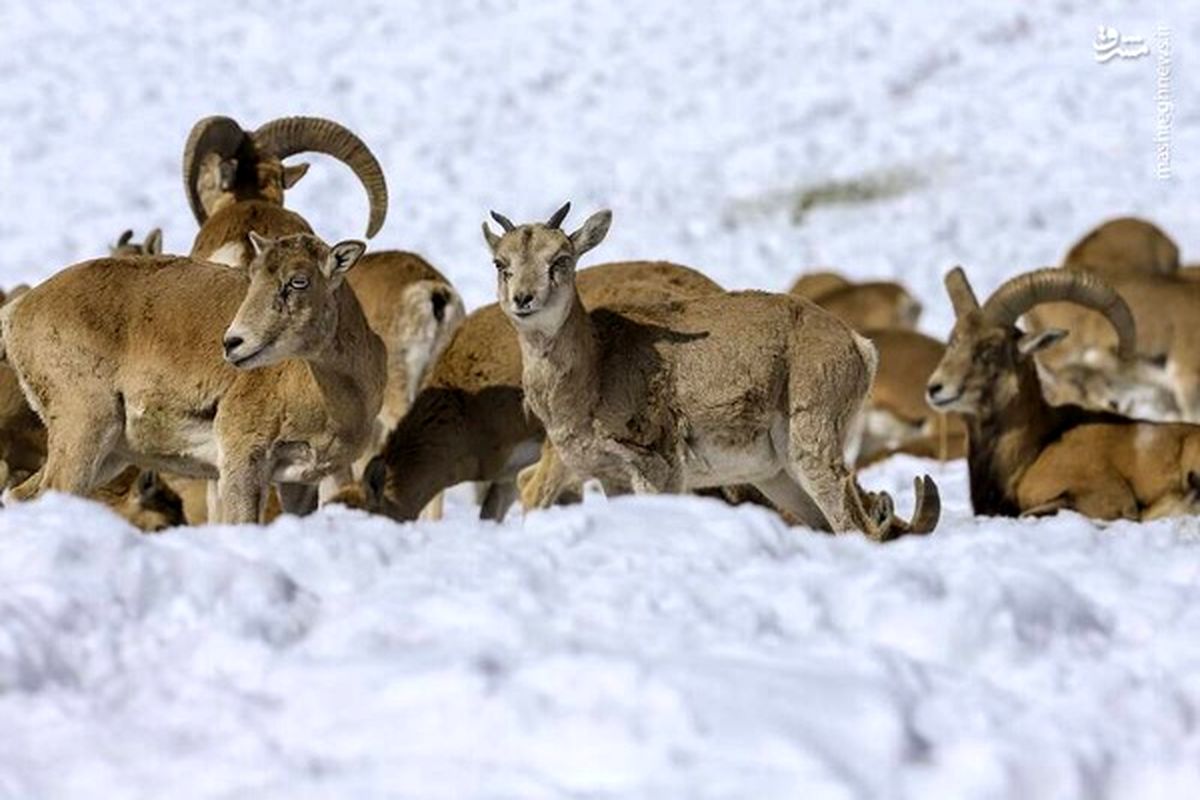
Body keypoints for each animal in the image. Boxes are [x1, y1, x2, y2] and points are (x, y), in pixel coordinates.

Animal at [0, 230, 384, 525]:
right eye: (254, 278)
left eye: (298, 281)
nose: (233, 343)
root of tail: (18, 311)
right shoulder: (242, 462)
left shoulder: (299, 482)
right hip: (85, 430)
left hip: (108, 455)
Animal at [477, 205, 936, 544]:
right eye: (501, 263)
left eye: (561, 259)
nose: (524, 299)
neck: (595, 369)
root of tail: (858, 345)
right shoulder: (612, 478)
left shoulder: (658, 472)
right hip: (779, 475)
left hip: (813, 451)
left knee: (854, 527)